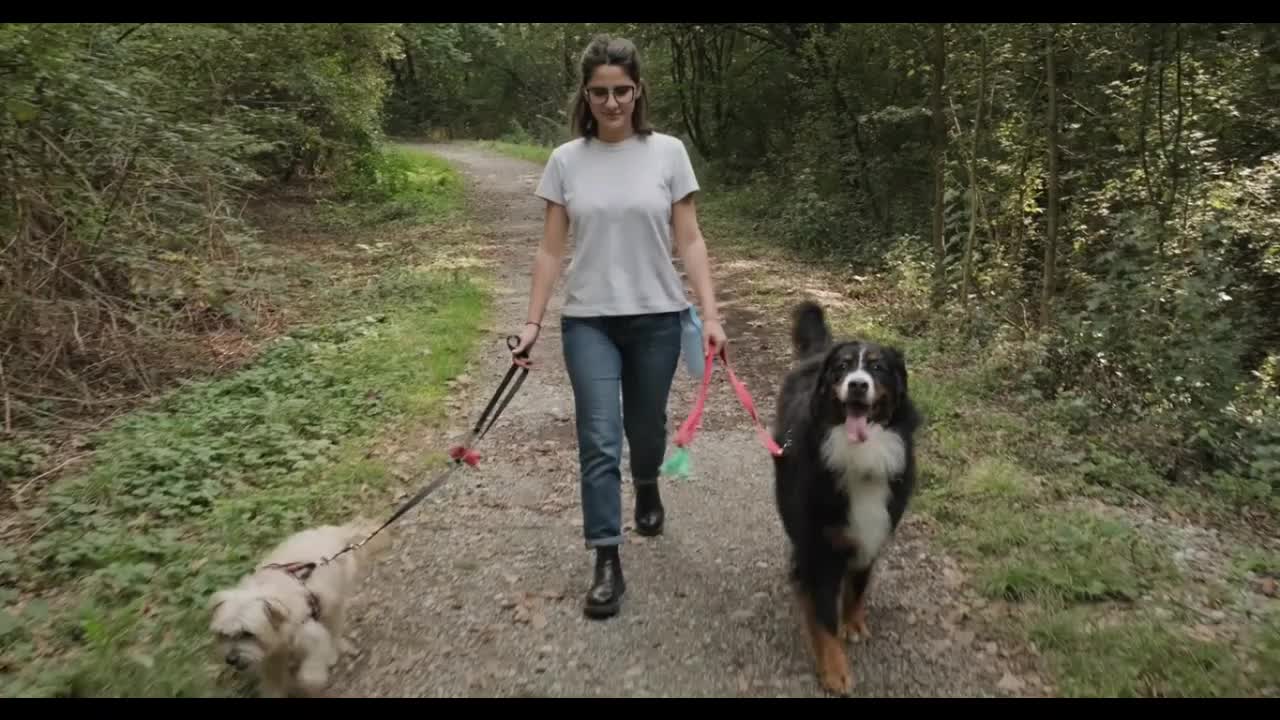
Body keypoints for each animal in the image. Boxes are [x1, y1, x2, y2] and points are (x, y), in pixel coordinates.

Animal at [207, 515, 389, 696]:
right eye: (223, 634)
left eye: (247, 633)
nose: (231, 659)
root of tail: (336, 533)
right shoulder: (272, 657)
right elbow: (273, 681)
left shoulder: (311, 635)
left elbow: (310, 672)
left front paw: (309, 683)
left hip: (335, 601)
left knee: (334, 628)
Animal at [768, 295, 921, 691]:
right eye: (842, 367)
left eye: (878, 368)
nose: (857, 385)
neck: (860, 455)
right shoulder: (822, 546)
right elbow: (824, 617)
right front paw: (835, 669)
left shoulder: (872, 530)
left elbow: (858, 585)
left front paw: (853, 622)